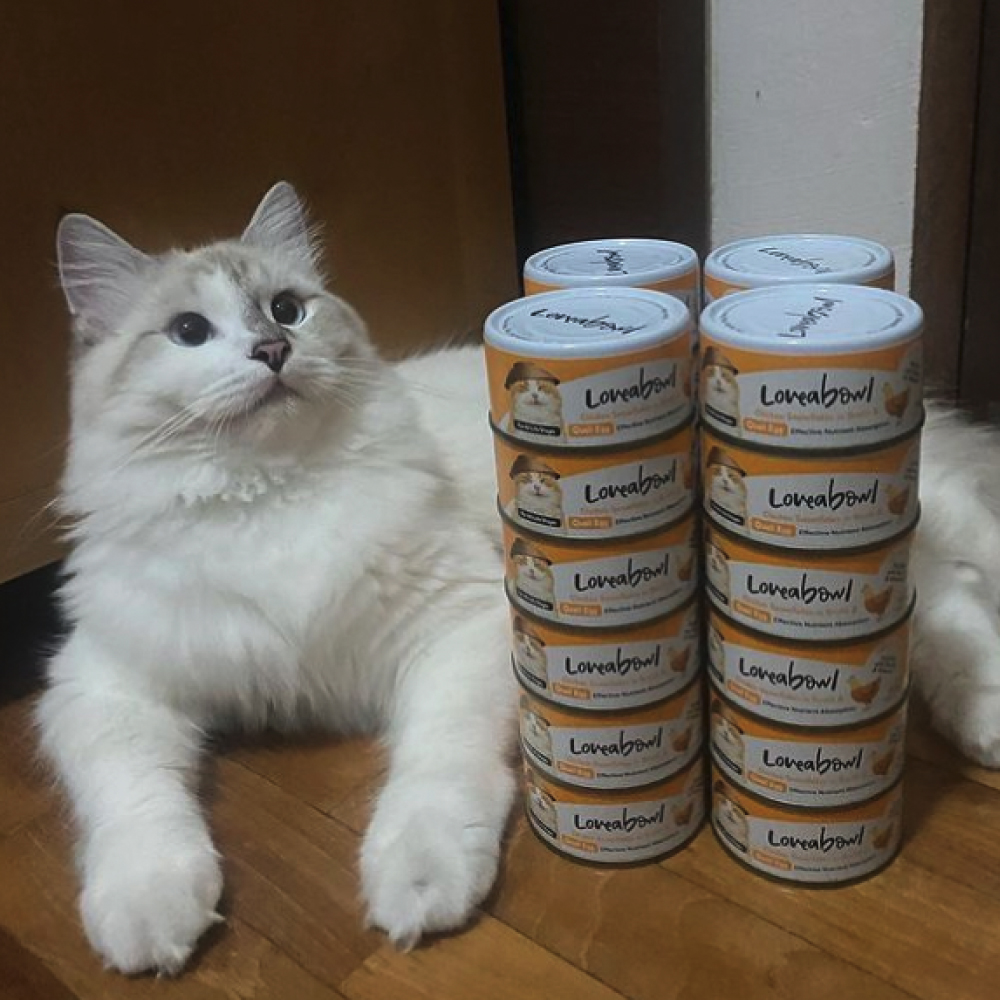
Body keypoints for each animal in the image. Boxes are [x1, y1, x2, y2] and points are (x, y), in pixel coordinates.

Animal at [35, 182, 517, 975]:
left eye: (287, 309)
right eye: (189, 330)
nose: (273, 349)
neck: (265, 490)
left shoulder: (462, 623)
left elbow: (435, 771)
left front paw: (420, 880)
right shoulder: (106, 683)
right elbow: (138, 810)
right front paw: (149, 916)